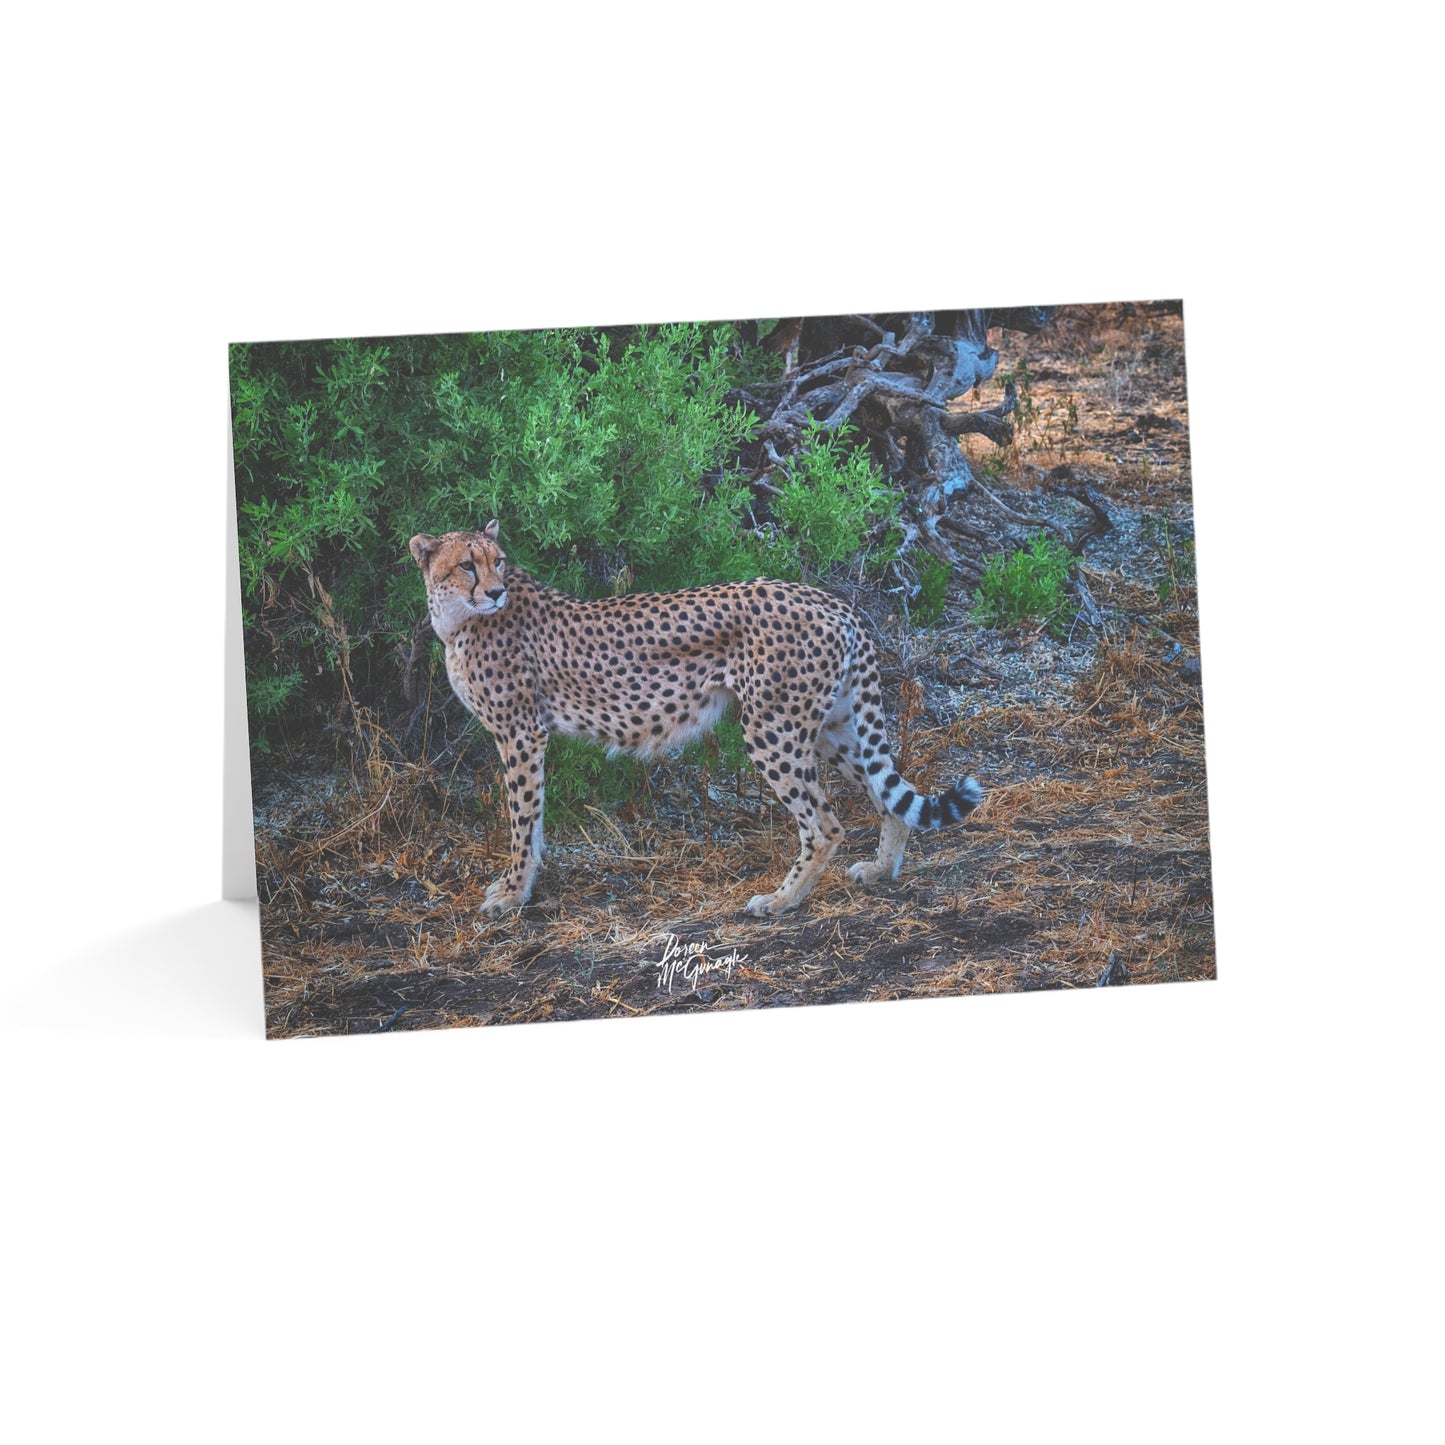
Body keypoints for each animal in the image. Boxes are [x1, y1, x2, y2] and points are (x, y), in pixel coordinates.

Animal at [410, 521, 984, 918]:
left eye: (498, 561)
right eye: (467, 564)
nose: (495, 591)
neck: (460, 620)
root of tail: (829, 599)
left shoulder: (521, 733)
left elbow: (522, 819)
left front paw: (513, 893)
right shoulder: (525, 735)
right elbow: (533, 819)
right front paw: (520, 887)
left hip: (772, 729)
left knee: (824, 825)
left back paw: (781, 901)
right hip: (831, 727)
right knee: (887, 794)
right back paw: (881, 869)